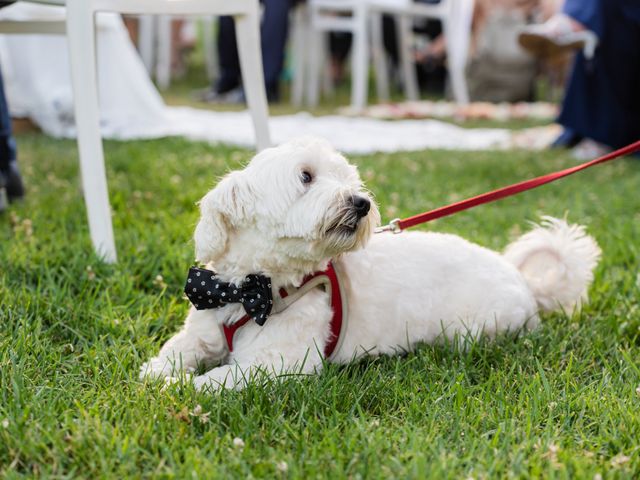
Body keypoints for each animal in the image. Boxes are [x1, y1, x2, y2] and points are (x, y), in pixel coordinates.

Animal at [140, 137, 600, 392]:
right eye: (306, 176)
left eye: (349, 179)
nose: (360, 202)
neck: (251, 287)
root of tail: (524, 281)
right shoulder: (200, 332)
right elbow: (169, 357)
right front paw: (157, 375)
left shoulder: (278, 365)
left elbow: (214, 381)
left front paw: (180, 389)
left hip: (477, 328)